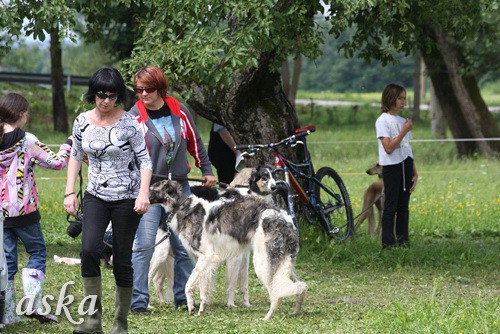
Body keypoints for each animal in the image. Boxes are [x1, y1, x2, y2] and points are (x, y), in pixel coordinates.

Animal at [148, 180, 306, 320]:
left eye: (152, 189)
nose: (142, 200)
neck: (184, 208)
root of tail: (285, 218)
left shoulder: (207, 256)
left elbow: (188, 284)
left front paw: (192, 307)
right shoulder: (202, 259)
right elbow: (202, 287)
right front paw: (201, 310)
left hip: (263, 263)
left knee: (277, 293)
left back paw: (267, 318)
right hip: (283, 263)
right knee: (300, 286)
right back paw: (295, 311)